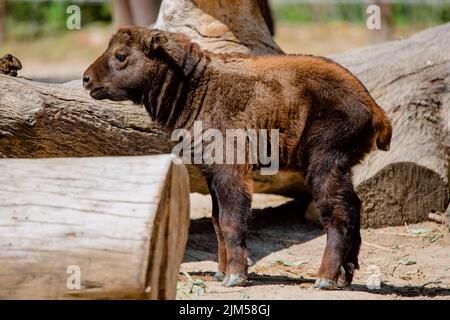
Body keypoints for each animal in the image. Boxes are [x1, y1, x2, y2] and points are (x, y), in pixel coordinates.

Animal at [83, 26, 390, 288]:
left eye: (121, 55)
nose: (87, 79)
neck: (198, 85)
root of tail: (373, 107)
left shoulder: (230, 170)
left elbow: (232, 221)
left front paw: (235, 276)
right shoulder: (211, 174)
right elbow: (217, 222)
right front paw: (221, 272)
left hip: (323, 164)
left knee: (337, 214)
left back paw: (325, 279)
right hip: (341, 168)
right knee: (354, 207)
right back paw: (345, 276)